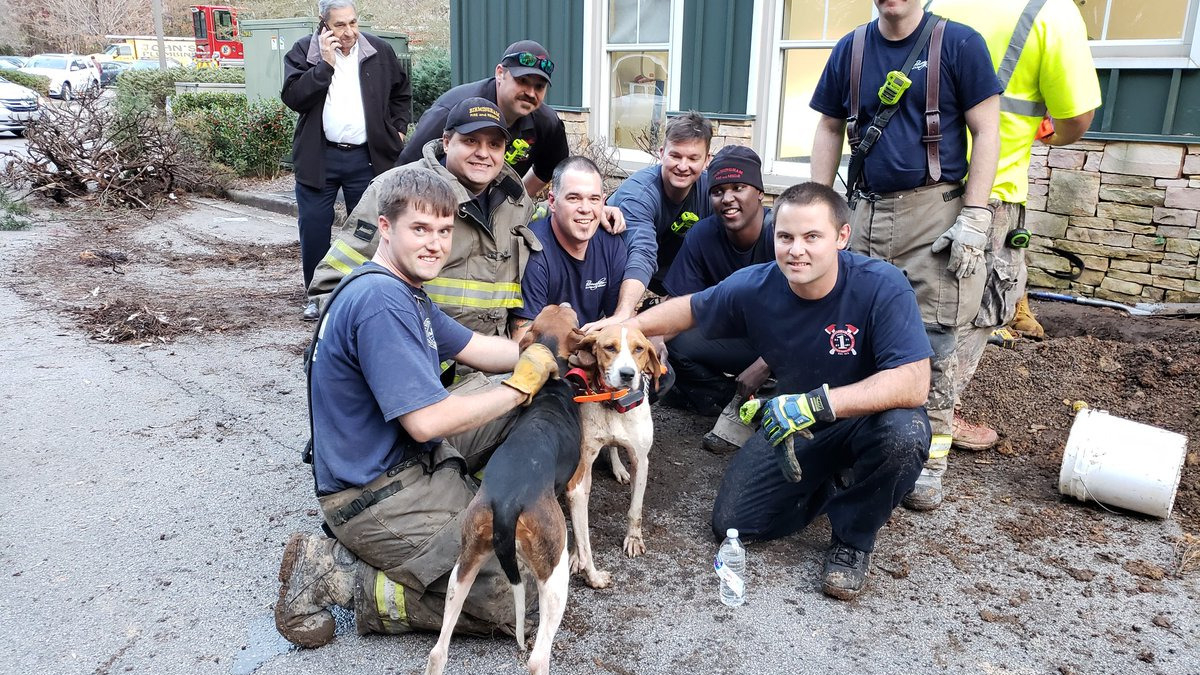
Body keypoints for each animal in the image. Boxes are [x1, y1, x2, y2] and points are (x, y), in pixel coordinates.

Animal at [427, 303, 585, 672]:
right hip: (554, 575)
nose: (567, 304)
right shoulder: (576, 485)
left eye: (550, 310)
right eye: (568, 317)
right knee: (538, 659)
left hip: (465, 561)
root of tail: (507, 504)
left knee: (438, 650)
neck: (550, 383)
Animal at [566, 324, 662, 586]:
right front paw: (577, 557)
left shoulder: (641, 460)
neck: (613, 404)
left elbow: (635, 510)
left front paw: (634, 539)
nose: (627, 373)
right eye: (609, 347)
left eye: (639, 349)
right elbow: (580, 528)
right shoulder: (581, 472)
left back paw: (618, 468)